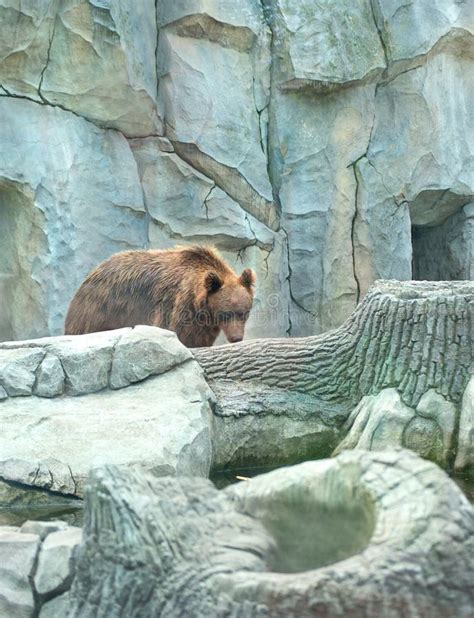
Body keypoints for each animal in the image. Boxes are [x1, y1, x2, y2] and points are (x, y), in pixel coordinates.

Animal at [64, 244, 256, 346]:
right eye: (225, 313)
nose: (236, 338)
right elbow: (178, 332)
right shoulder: (176, 305)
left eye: (244, 313)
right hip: (101, 309)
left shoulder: (203, 324)